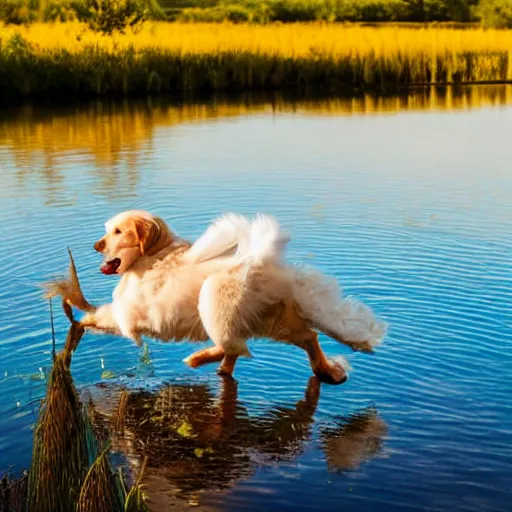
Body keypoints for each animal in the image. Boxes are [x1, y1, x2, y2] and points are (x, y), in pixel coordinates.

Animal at [48, 209, 386, 384]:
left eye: (118, 232)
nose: (96, 245)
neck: (152, 257)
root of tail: (266, 264)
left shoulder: (127, 313)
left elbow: (101, 315)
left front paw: (76, 315)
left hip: (215, 298)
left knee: (232, 344)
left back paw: (199, 359)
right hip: (275, 320)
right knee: (303, 338)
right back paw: (325, 370)